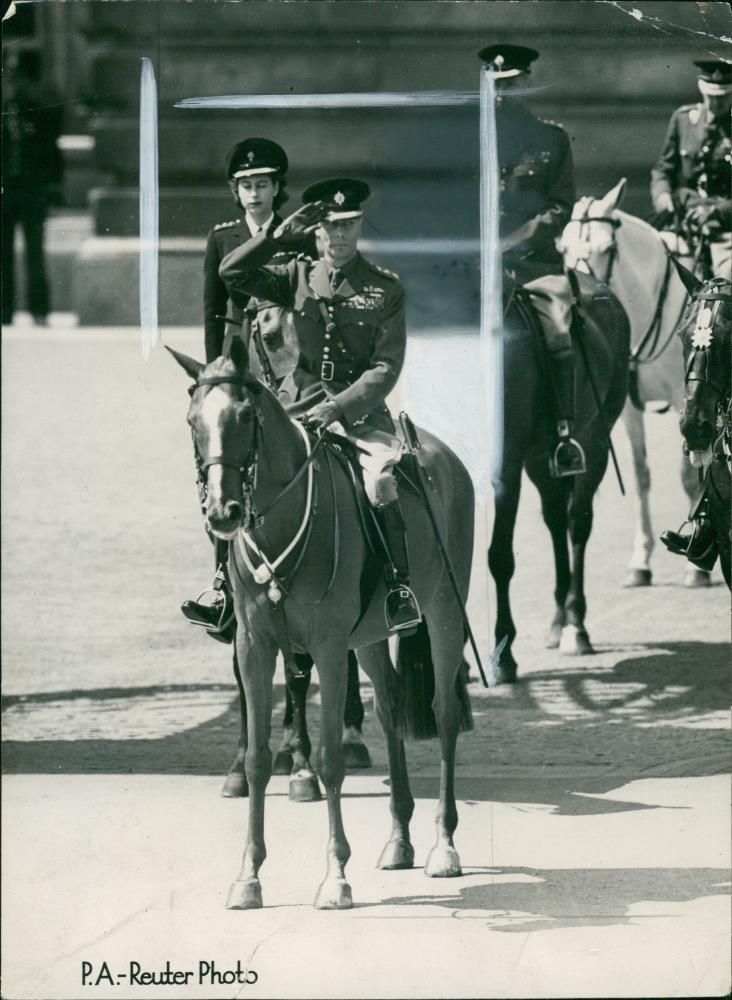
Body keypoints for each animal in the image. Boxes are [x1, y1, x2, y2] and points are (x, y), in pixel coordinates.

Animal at [170, 348, 474, 912]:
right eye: (193, 421)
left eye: (245, 416)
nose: (222, 513)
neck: (283, 520)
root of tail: (443, 456)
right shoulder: (254, 647)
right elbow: (257, 760)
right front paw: (248, 876)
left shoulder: (330, 649)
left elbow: (331, 759)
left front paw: (335, 875)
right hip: (371, 636)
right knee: (391, 708)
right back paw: (399, 839)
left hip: (444, 612)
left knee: (443, 712)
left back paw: (443, 845)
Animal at [492, 270, 628, 684]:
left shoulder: (505, 468)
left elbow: (500, 557)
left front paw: (503, 656)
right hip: (540, 460)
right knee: (554, 519)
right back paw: (557, 621)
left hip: (595, 443)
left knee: (576, 523)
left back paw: (574, 626)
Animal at [556, 178, 708, 584]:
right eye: (564, 248)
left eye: (607, 248)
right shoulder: (627, 407)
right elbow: (641, 476)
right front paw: (641, 560)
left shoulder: (687, 400)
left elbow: (689, 474)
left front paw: (694, 566)